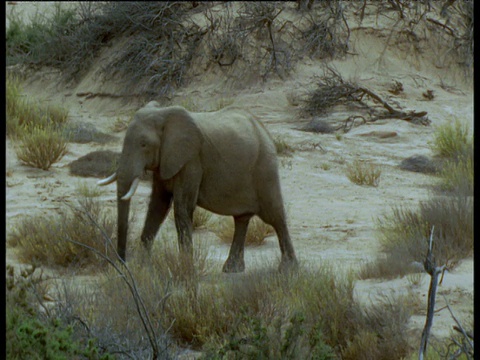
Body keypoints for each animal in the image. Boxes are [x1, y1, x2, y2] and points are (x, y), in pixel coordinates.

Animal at [97, 101, 296, 272]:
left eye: (144, 144)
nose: (122, 263)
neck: (164, 115)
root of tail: (262, 128)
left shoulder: (191, 160)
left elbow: (182, 208)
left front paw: (186, 268)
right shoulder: (166, 160)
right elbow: (157, 207)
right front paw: (143, 267)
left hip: (264, 167)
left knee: (275, 216)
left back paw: (288, 269)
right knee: (242, 219)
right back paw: (232, 269)